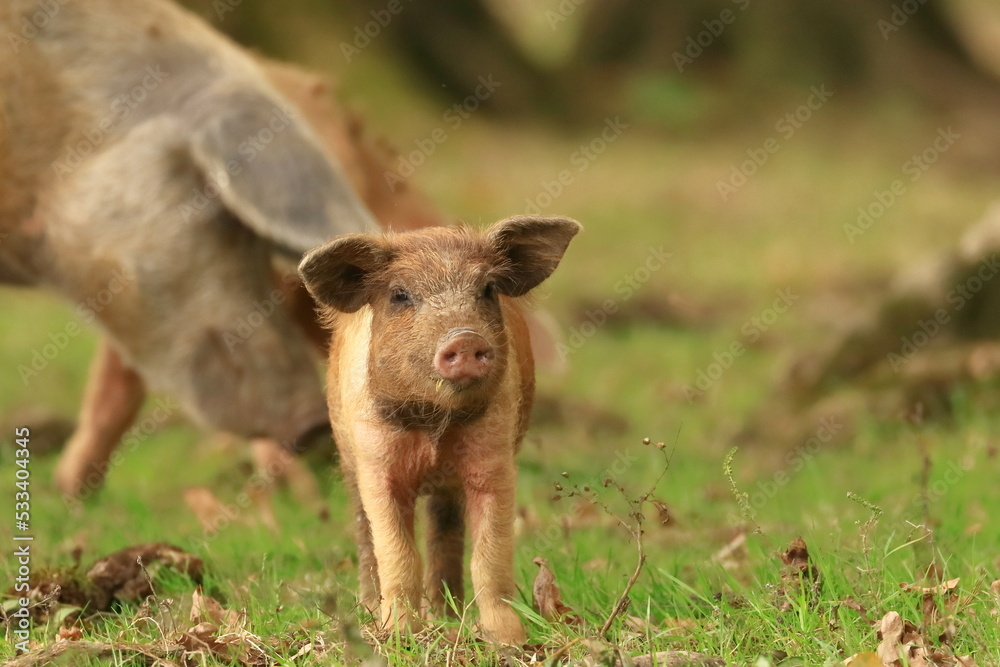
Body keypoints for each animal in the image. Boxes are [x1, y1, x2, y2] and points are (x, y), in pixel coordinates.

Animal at [299, 215, 581, 645]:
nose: (464, 339)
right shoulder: (375, 464)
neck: (434, 427)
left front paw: (507, 640)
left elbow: (490, 557)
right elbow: (397, 554)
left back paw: (448, 616)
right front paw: (398, 636)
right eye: (400, 295)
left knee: (445, 531)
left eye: (487, 289)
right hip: (347, 459)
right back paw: (373, 611)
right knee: (365, 535)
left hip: (447, 491)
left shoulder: (494, 463)